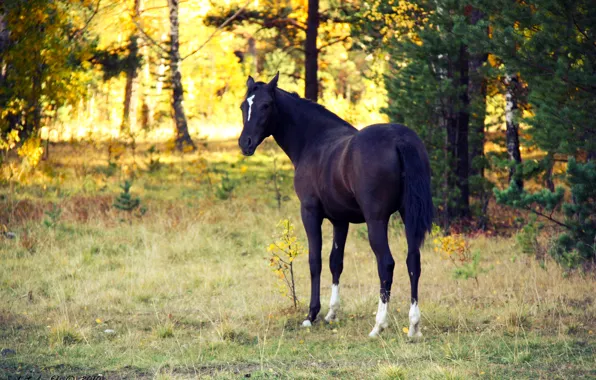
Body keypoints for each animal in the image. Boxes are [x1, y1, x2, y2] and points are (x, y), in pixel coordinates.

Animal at [237, 72, 434, 336]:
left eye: (266, 105)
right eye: (243, 106)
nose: (245, 143)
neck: (314, 141)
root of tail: (400, 139)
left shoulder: (310, 213)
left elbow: (315, 261)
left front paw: (312, 314)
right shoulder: (341, 220)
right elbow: (335, 262)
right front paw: (332, 313)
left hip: (376, 220)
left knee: (386, 264)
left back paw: (378, 325)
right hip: (408, 216)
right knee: (413, 261)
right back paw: (413, 325)